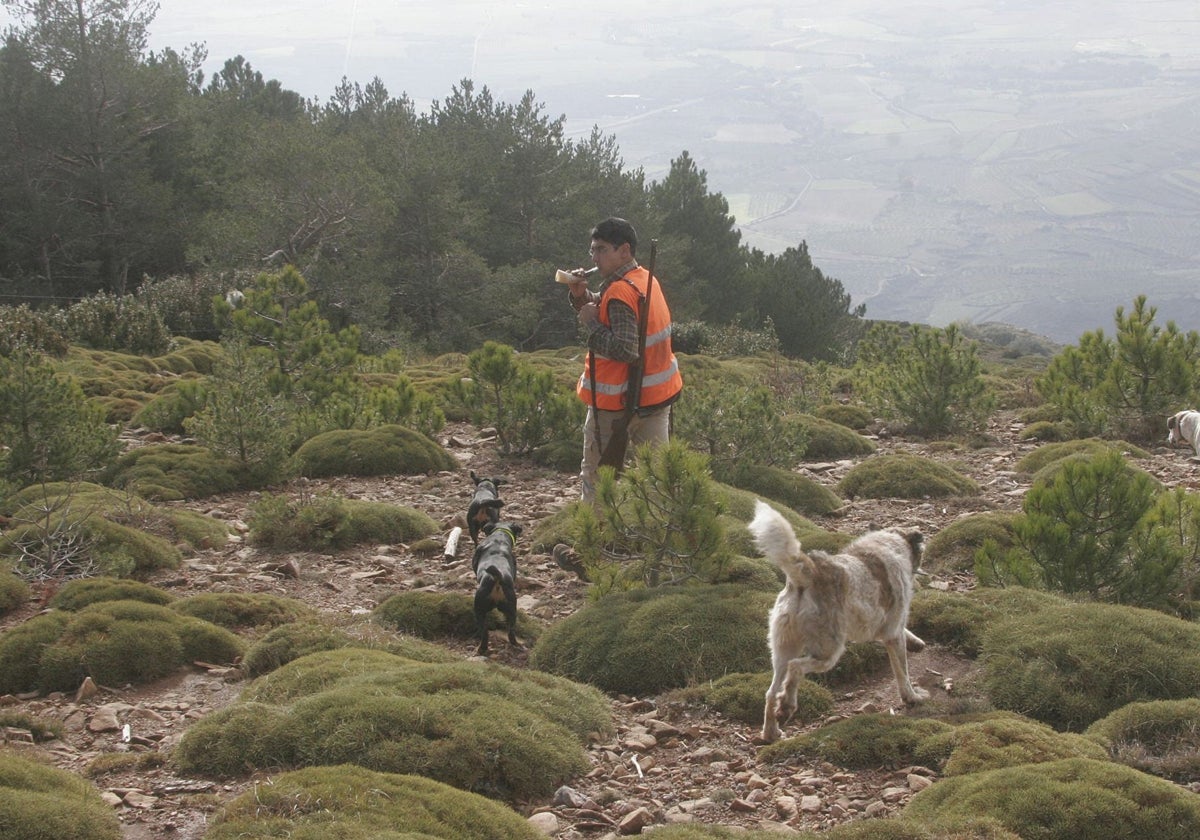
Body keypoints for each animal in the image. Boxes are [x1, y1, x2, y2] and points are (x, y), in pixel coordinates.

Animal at [470, 518, 523, 657]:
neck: (500, 536)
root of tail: (498, 578)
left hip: (479, 609)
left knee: (484, 633)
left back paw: (481, 648)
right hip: (512, 610)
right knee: (511, 633)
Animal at [744, 499, 931, 739]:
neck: (888, 543)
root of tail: (809, 572)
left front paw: (916, 641)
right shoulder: (893, 633)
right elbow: (903, 672)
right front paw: (912, 697)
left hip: (783, 649)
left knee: (771, 692)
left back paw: (771, 733)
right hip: (828, 651)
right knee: (796, 669)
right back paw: (787, 706)